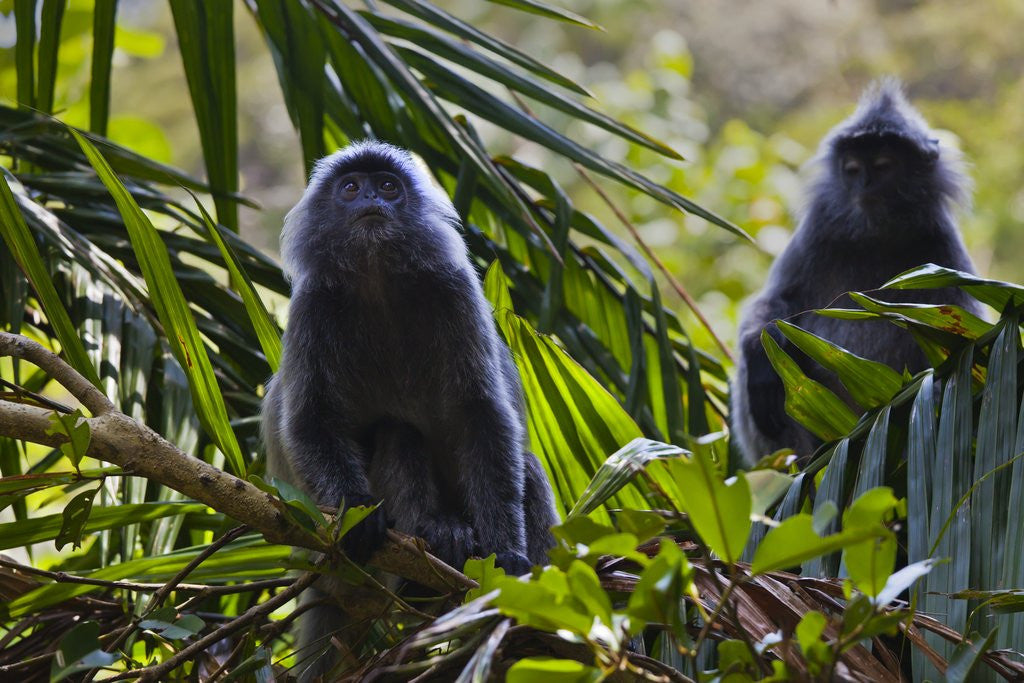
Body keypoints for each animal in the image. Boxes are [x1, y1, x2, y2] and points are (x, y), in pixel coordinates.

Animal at [261, 141, 558, 680]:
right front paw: (357, 512)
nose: (371, 200)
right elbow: (311, 421)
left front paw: (508, 553)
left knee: (520, 461)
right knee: (399, 432)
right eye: (351, 188)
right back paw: (431, 543)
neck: (378, 277)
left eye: (387, 186)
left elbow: (483, 417)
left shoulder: (455, 291)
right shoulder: (313, 304)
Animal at [731, 79, 982, 464]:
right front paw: (762, 352)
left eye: (882, 166)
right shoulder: (819, 230)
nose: (864, 185)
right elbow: (775, 302)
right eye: (851, 169)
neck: (876, 234)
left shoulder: (942, 248)